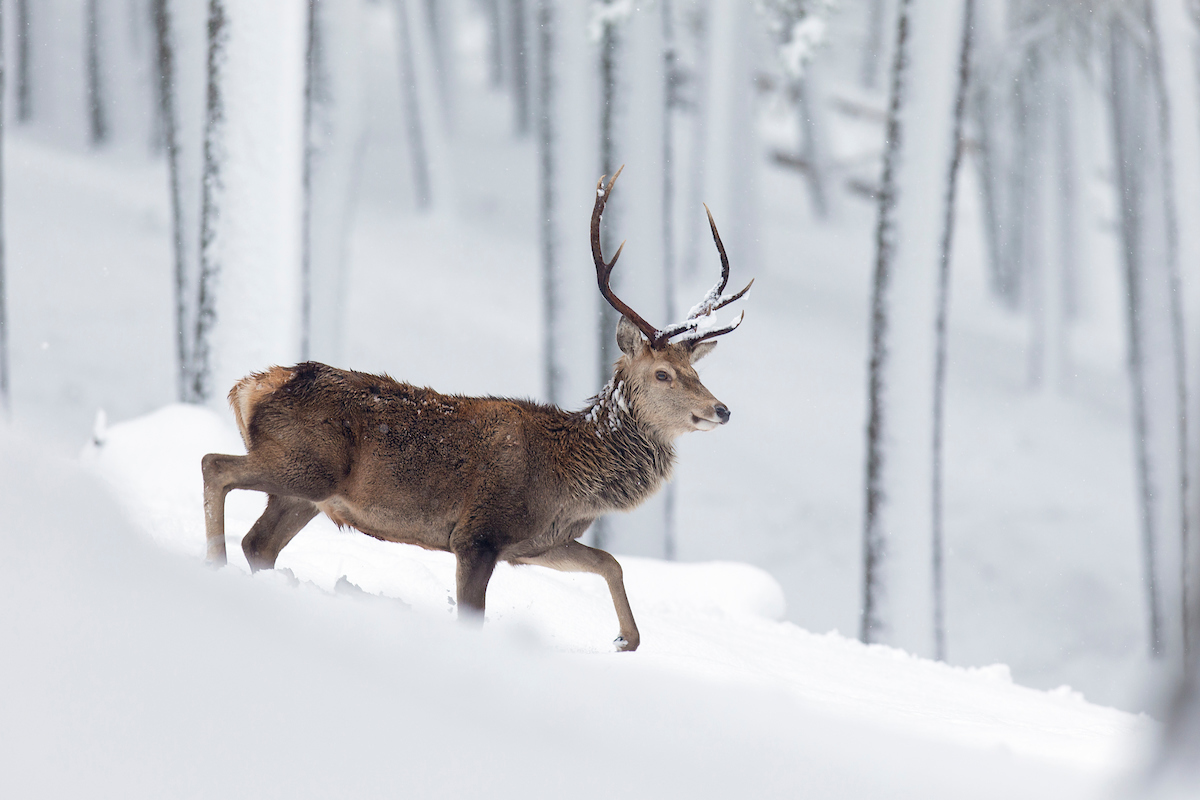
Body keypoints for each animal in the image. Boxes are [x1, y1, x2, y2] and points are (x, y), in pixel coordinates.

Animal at [204, 169, 748, 652]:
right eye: (663, 374)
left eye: (695, 370)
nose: (721, 410)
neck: (569, 480)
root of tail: (250, 386)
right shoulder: (478, 533)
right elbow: (473, 616)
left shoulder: (535, 543)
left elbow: (610, 561)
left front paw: (623, 639)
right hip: (307, 465)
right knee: (215, 466)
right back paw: (212, 565)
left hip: (306, 494)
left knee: (259, 543)